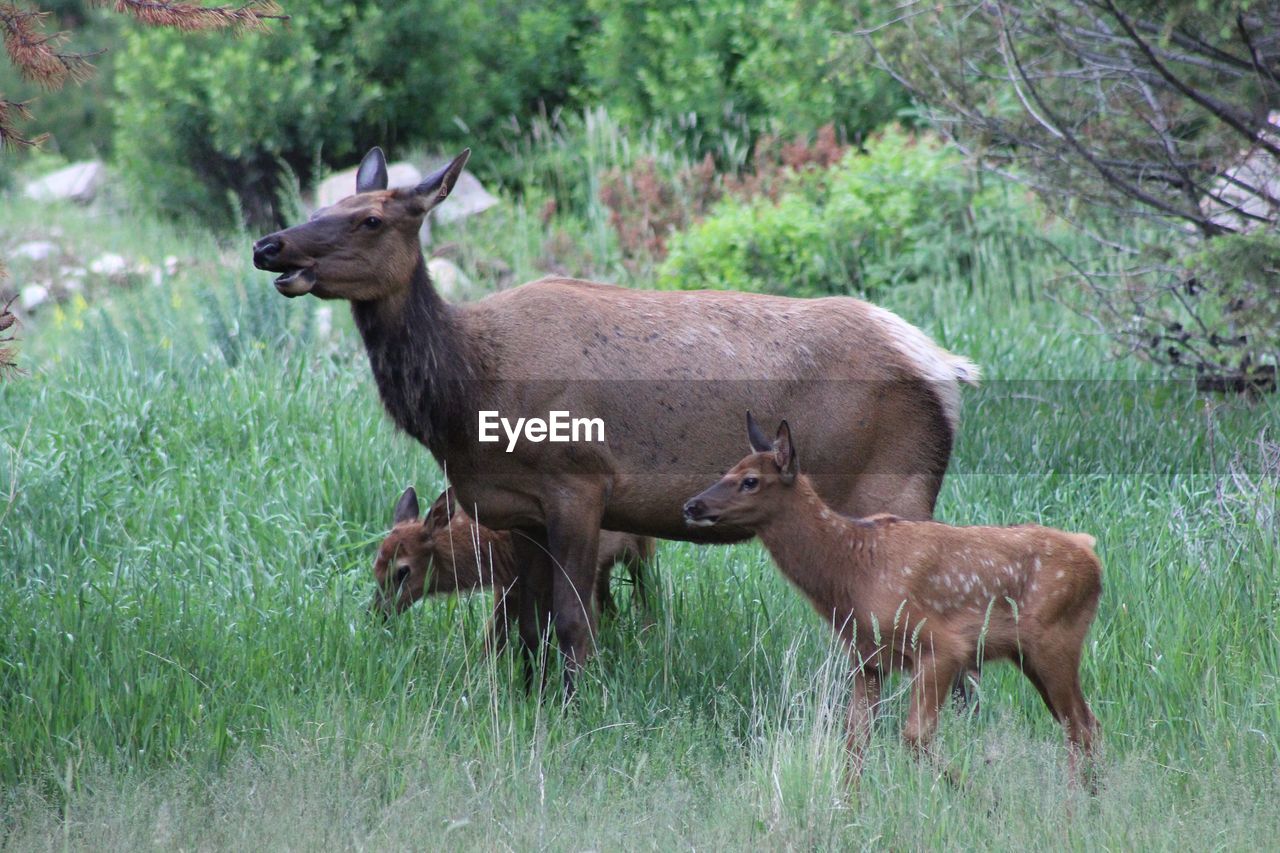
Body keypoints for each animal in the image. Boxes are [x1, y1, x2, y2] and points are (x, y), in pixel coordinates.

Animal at [252, 146, 977, 691]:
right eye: (320, 207)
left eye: (372, 218)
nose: (268, 246)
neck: (466, 397)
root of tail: (945, 367)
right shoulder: (519, 511)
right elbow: (529, 629)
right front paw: (531, 702)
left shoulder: (578, 483)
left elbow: (575, 623)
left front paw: (580, 711)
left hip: (895, 485)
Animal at [686, 414, 1105, 778]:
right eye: (727, 470)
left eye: (750, 480)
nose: (692, 505)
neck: (852, 572)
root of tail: (1091, 552)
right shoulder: (866, 659)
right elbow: (854, 743)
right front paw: (847, 810)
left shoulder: (941, 646)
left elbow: (914, 736)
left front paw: (985, 800)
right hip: (1030, 654)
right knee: (1087, 724)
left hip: (1055, 642)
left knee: (1080, 727)